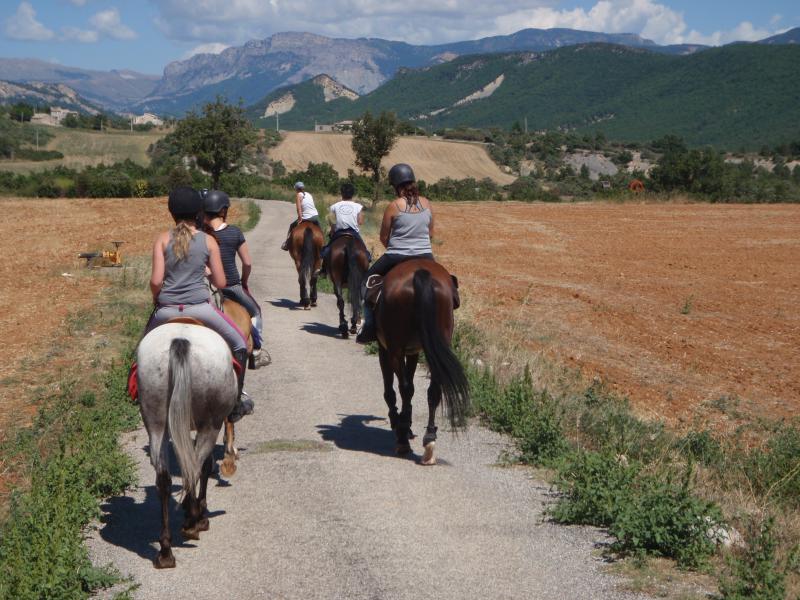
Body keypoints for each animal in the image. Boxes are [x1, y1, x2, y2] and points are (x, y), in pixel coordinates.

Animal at [136, 324, 236, 568]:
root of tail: (181, 341)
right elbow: (207, 466)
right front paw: (200, 511)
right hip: (210, 424)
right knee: (195, 468)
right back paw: (193, 521)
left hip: (155, 421)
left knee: (163, 478)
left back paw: (165, 550)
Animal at [376, 258, 468, 464]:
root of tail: (421, 273)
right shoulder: (413, 351)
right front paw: (406, 422)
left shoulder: (384, 349)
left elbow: (390, 390)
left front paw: (399, 422)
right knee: (433, 390)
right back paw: (429, 440)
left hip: (394, 350)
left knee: (404, 388)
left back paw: (403, 441)